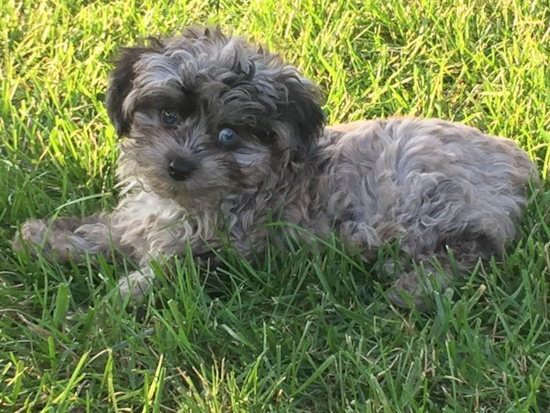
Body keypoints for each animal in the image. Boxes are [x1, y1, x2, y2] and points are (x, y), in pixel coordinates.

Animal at [11, 26, 540, 308]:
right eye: (168, 116)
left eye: (229, 135)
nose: (178, 165)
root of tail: (517, 163)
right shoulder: (143, 218)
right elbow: (108, 231)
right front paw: (47, 239)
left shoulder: (228, 249)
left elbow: (169, 268)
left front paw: (116, 300)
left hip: (425, 194)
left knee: (478, 246)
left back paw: (413, 283)